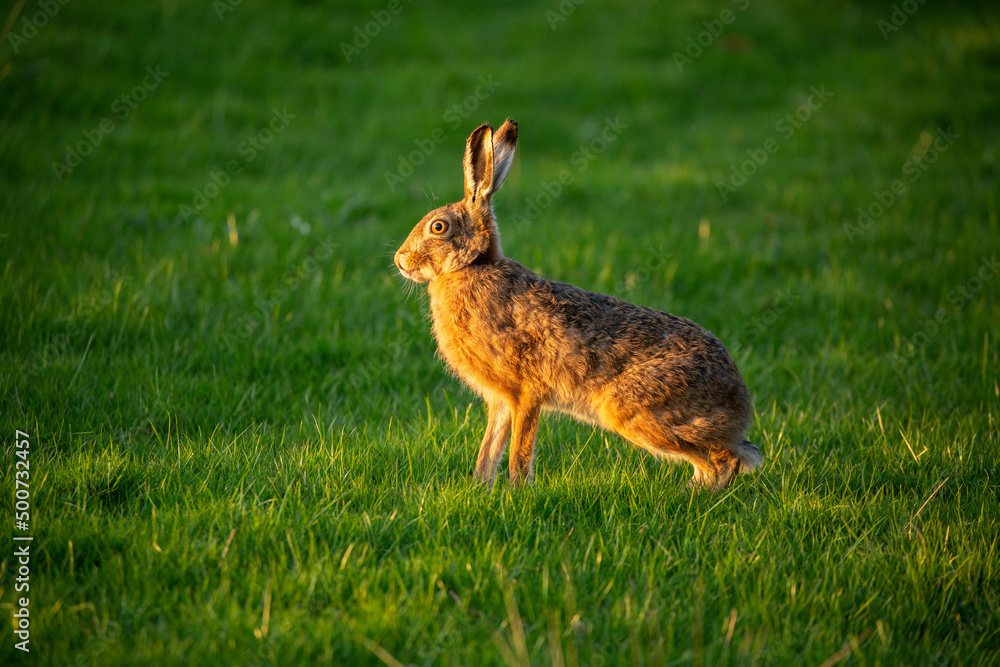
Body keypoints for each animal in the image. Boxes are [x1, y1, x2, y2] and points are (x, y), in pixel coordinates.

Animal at [394, 118, 761, 490]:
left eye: (438, 227)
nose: (400, 260)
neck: (473, 267)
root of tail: (739, 403)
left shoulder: (526, 392)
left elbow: (518, 450)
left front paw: (517, 490)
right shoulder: (500, 400)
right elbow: (490, 448)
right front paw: (481, 487)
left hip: (637, 412)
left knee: (723, 460)